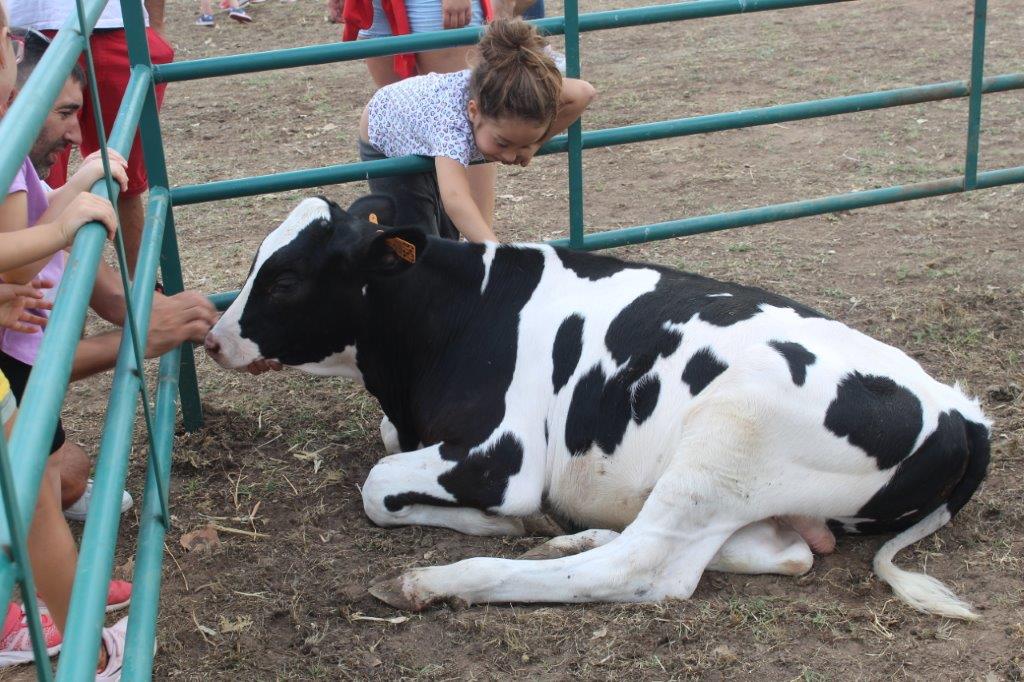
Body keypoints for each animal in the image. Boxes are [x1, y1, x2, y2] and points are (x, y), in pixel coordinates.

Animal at [205, 195, 991, 614]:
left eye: (285, 279)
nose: (212, 339)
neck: (463, 311)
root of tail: (958, 408)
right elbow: (385, 450)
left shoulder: (502, 457)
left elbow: (377, 486)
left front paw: (500, 526)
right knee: (782, 551)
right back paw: (570, 533)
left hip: (728, 435)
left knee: (646, 568)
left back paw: (436, 580)